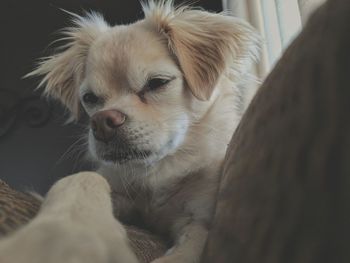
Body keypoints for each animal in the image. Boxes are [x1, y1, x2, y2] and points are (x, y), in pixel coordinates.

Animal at [3, 1, 260, 262]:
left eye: (157, 83)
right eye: (90, 98)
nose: (102, 121)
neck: (157, 170)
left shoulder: (198, 219)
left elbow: (191, 246)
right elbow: (83, 179)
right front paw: (65, 230)